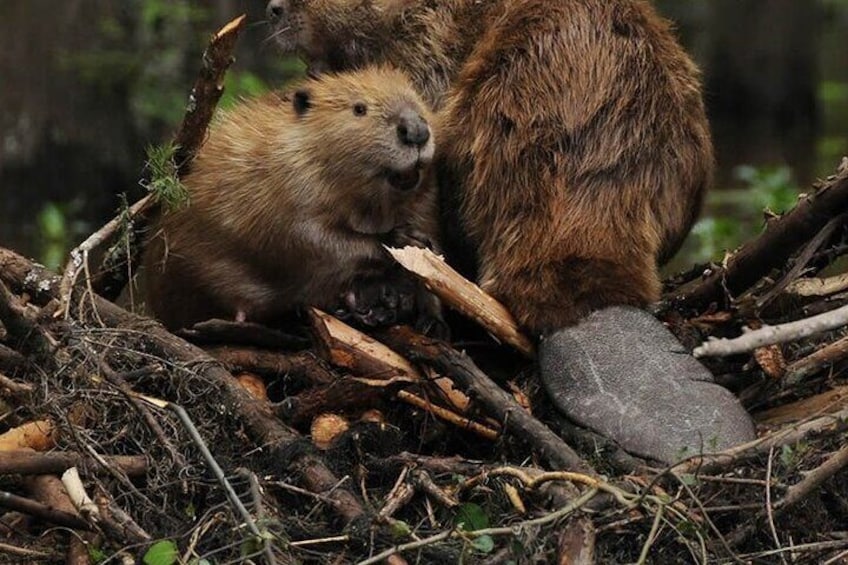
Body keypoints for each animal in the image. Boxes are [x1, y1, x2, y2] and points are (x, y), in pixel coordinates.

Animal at [140, 66, 440, 330]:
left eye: (418, 100)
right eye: (359, 108)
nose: (416, 131)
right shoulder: (287, 183)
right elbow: (308, 238)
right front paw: (400, 239)